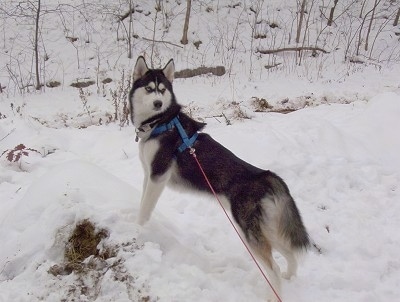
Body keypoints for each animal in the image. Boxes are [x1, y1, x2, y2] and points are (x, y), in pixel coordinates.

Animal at [130, 56, 310, 300]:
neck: (160, 122)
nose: (158, 103)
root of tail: (266, 176)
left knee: (273, 267)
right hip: (266, 229)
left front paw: (137, 231)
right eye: (149, 89)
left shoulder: (158, 177)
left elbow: (144, 212)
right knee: (289, 254)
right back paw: (289, 276)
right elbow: (141, 204)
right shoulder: (148, 176)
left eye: (162, 89)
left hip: (248, 231)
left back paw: (273, 295)